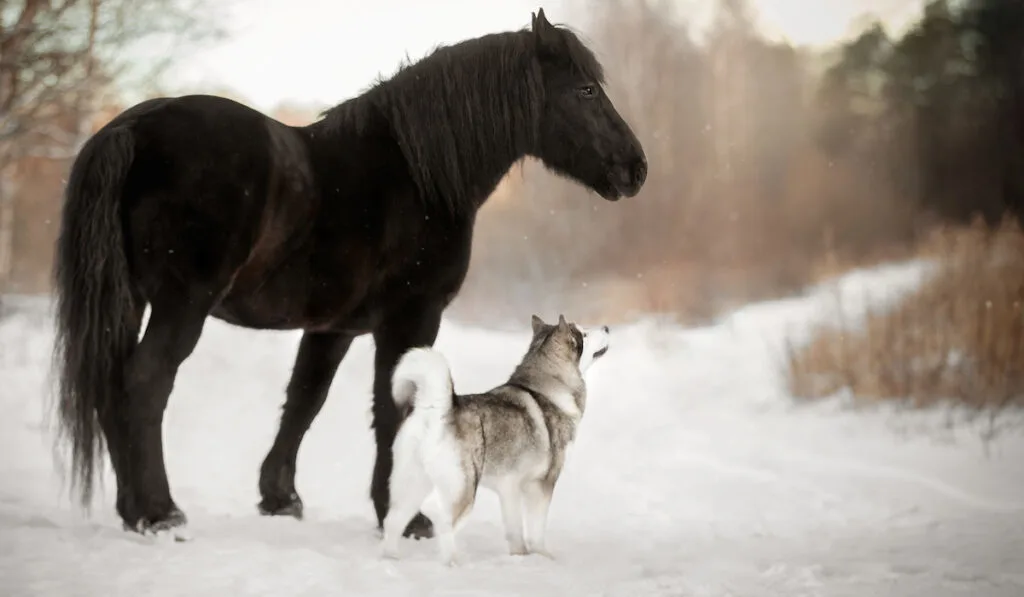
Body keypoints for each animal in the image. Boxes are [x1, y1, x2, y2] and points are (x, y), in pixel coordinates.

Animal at [51, 7, 643, 540]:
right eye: (586, 90)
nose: (635, 168)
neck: (418, 174)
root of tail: (132, 128)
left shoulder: (331, 328)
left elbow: (304, 402)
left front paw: (281, 498)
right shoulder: (410, 317)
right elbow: (393, 408)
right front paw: (404, 518)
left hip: (128, 301)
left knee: (110, 387)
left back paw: (132, 509)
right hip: (181, 306)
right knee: (145, 384)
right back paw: (159, 512)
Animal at [382, 315, 606, 569]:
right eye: (582, 333)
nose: (607, 328)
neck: (547, 390)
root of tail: (439, 409)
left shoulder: (509, 488)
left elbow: (515, 531)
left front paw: (520, 557)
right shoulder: (542, 484)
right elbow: (536, 530)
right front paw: (542, 557)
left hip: (412, 485)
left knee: (393, 521)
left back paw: (390, 559)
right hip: (465, 488)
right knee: (444, 523)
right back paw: (452, 563)